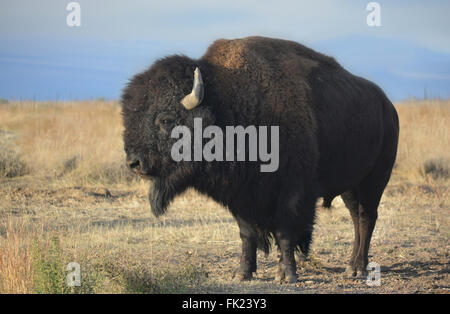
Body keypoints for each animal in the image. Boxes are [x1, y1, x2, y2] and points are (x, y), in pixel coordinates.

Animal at [121, 35, 400, 284]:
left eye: (166, 119)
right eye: (130, 117)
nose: (134, 163)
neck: (227, 102)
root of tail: (388, 106)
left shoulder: (292, 194)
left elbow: (285, 233)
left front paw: (287, 275)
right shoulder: (241, 195)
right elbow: (247, 233)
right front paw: (242, 273)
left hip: (375, 180)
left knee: (366, 218)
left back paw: (359, 269)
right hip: (350, 186)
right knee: (356, 219)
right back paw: (350, 266)